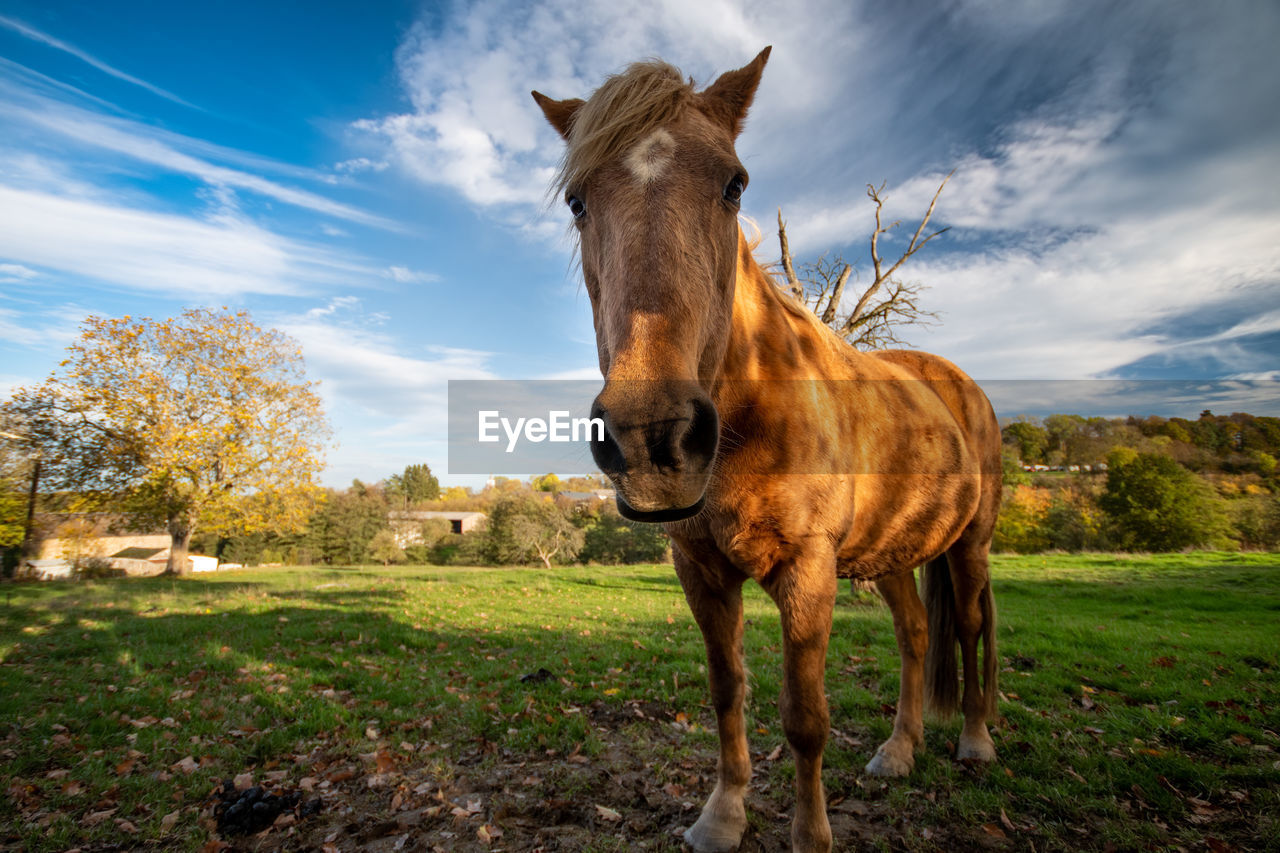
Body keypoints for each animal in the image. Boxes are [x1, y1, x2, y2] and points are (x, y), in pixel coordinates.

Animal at [535, 48, 1003, 850]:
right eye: (576, 200)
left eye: (735, 183)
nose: (652, 437)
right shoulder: (700, 570)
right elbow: (728, 693)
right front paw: (722, 816)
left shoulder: (808, 569)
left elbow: (805, 716)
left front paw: (810, 834)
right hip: (891, 555)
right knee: (914, 635)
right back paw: (899, 750)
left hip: (968, 545)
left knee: (967, 628)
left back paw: (974, 739)